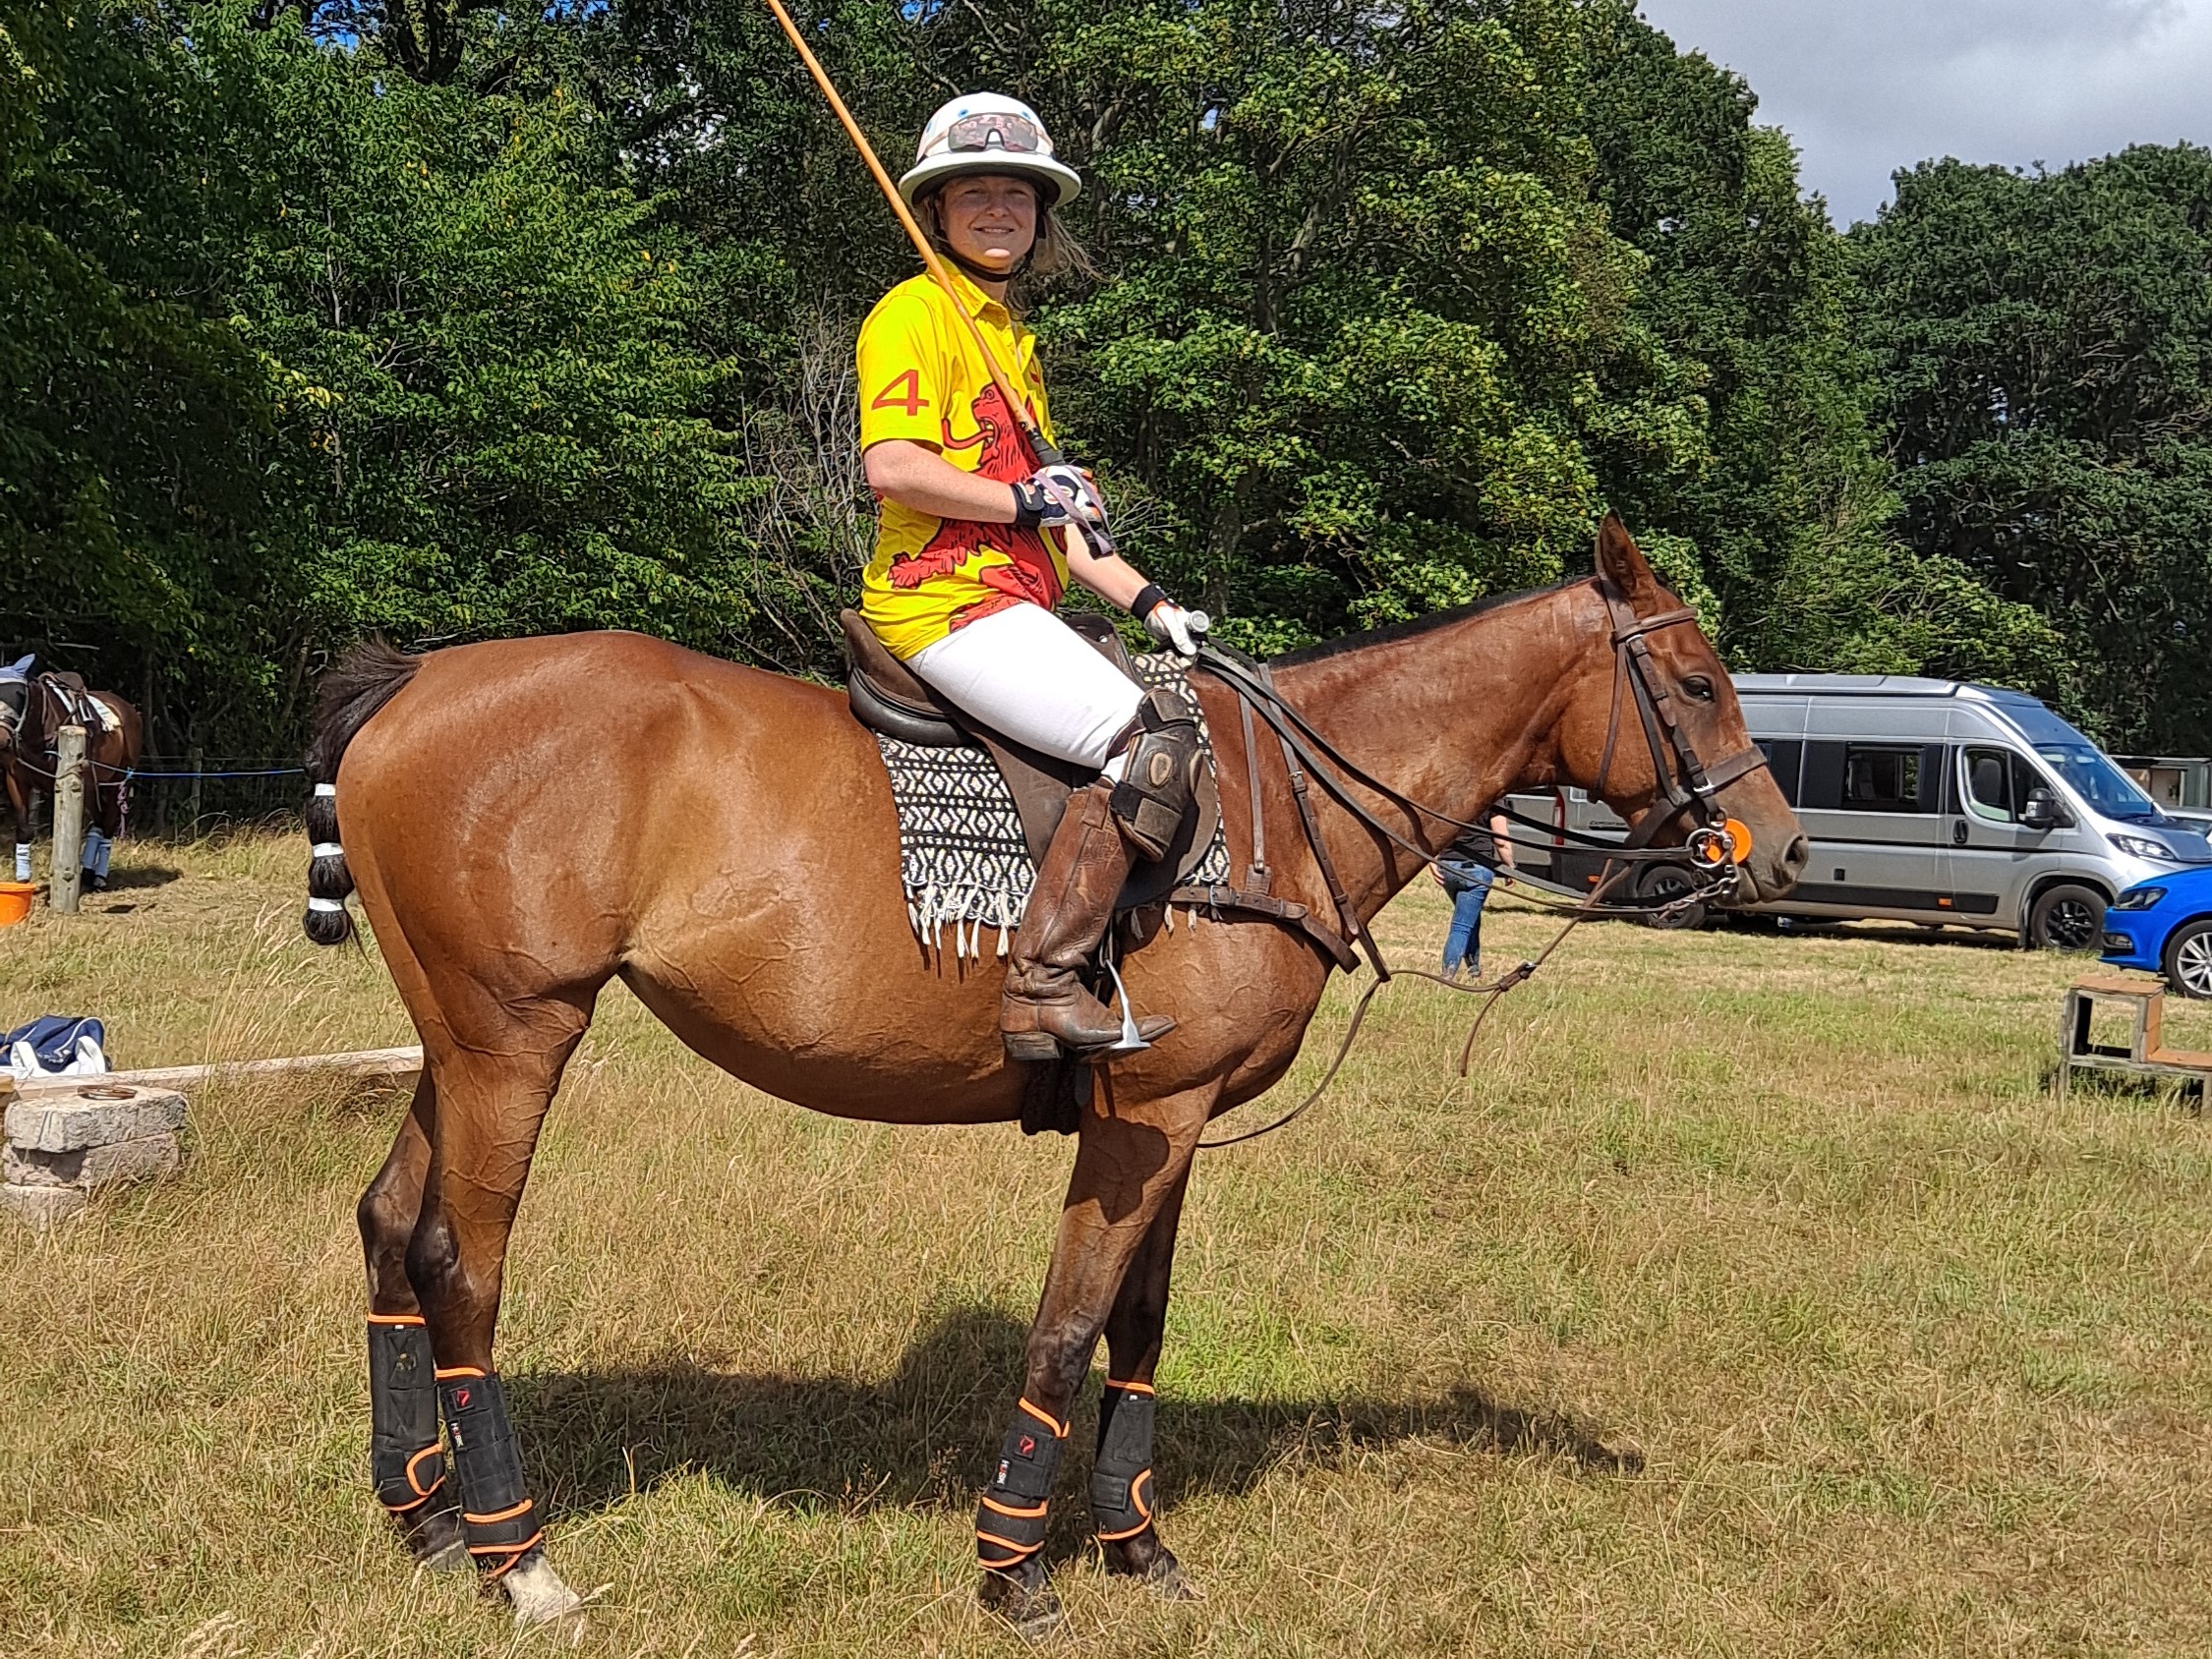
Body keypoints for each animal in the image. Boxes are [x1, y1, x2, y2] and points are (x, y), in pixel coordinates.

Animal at [0, 670, 145, 890]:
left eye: (19, 696)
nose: (1, 738)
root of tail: (129, 709)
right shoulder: (16, 780)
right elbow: (24, 829)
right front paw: (23, 879)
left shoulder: (65, 782)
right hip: (94, 786)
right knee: (98, 823)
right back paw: (87, 871)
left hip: (118, 782)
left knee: (108, 824)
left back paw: (99, 876)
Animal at [303, 517, 1807, 1628]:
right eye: (1694, 684)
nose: (1780, 851)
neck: (1279, 810)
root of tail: (415, 679)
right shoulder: (1143, 1111)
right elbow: (1068, 1325)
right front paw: (1014, 1565)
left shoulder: (1180, 1119)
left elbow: (1139, 1328)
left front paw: (1137, 1544)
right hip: (519, 1030)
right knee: (460, 1259)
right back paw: (519, 1561)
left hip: (454, 1036)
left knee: (387, 1222)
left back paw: (424, 1519)